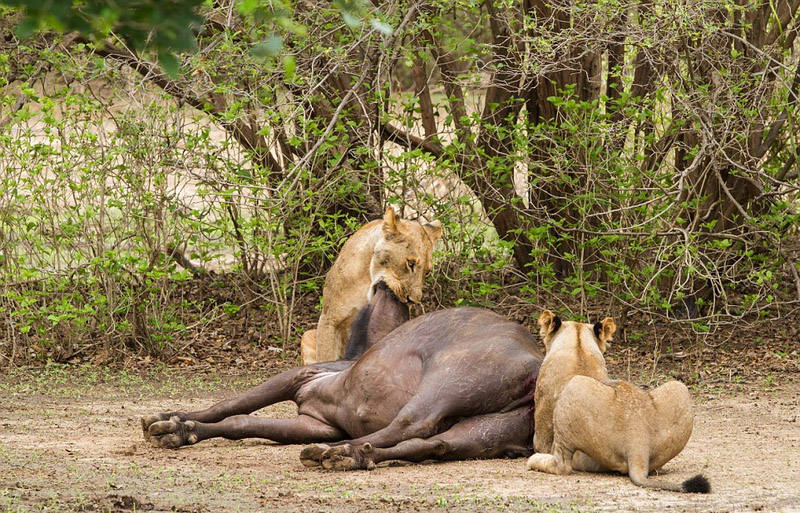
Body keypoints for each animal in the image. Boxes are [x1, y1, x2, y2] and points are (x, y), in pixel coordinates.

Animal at [142, 282, 544, 470]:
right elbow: (241, 423)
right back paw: (353, 456)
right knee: (432, 444)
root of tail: (537, 365)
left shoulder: (298, 377)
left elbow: (229, 407)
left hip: (446, 384)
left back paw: (336, 453)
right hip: (480, 433)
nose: (384, 286)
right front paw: (179, 427)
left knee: (411, 425)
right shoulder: (316, 423)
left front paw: (172, 423)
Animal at [298, 207, 440, 364]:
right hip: (308, 334)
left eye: (427, 272)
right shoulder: (328, 319)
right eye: (410, 263)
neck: (366, 279)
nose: (413, 300)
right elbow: (325, 357)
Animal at [528, 310, 708, 494]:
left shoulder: (542, 427)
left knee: (562, 465)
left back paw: (535, 460)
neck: (579, 349)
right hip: (679, 388)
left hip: (574, 387)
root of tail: (638, 444)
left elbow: (539, 440)